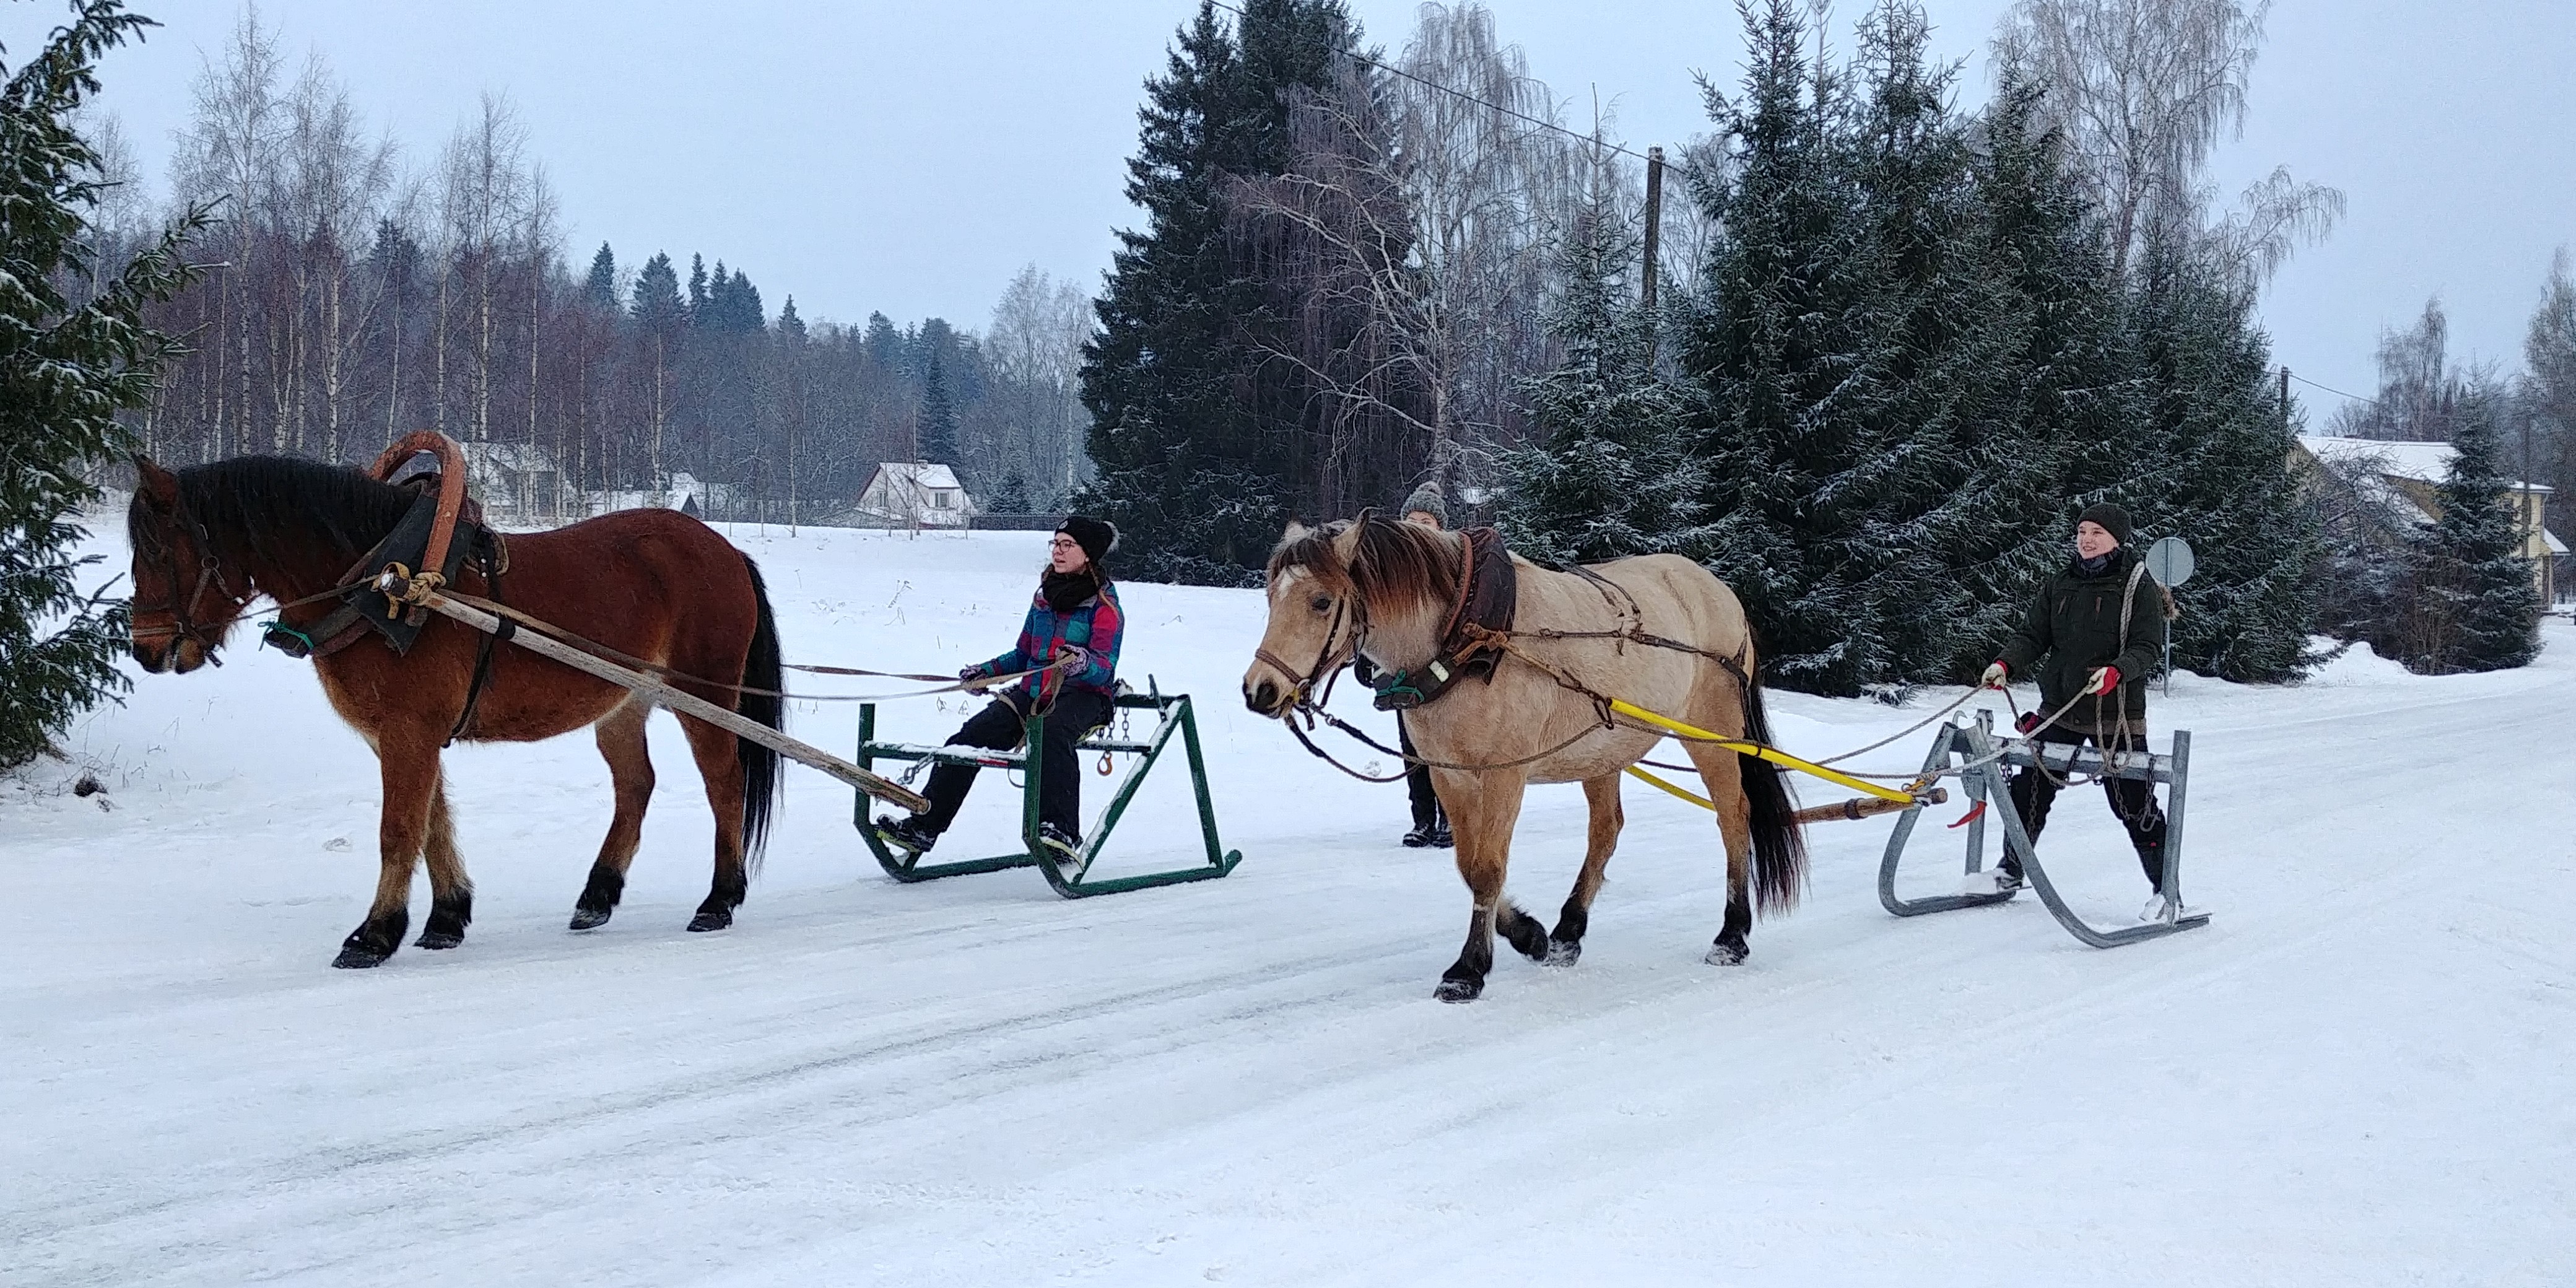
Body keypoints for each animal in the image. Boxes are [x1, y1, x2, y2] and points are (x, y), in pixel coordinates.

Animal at [125, 453, 783, 968]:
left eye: (161, 551)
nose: (147, 651)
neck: (384, 586)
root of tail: (725, 549)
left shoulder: (408, 733)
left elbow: (399, 830)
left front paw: (374, 935)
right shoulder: (400, 736)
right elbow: (433, 821)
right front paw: (446, 917)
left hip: (706, 697)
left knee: (725, 784)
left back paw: (719, 900)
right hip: (624, 701)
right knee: (636, 784)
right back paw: (598, 896)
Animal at [1236, 518, 1803, 999]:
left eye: (1321, 601)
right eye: (1270, 597)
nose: (1260, 691)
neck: (1470, 636)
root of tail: (1718, 589)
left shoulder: (1506, 773)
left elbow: (1488, 868)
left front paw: (1468, 969)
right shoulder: (1449, 774)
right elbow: (1469, 865)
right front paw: (1529, 934)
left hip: (1714, 733)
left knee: (1733, 817)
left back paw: (1731, 935)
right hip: (1602, 750)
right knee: (1606, 831)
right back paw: (1569, 930)